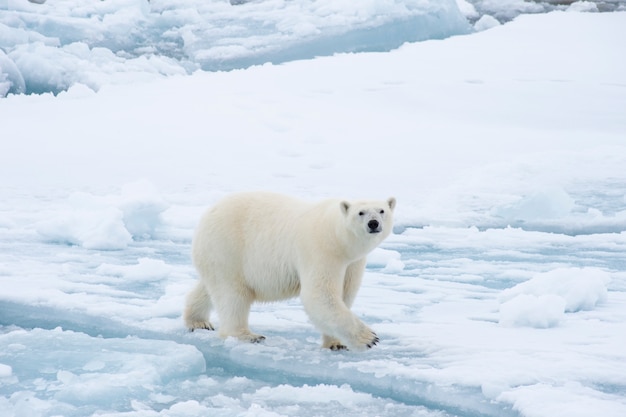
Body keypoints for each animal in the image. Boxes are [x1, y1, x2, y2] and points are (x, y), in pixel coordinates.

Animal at [183, 193, 394, 350]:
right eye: (361, 212)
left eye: (382, 210)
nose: (373, 223)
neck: (336, 236)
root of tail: (207, 215)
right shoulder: (320, 250)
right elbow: (319, 295)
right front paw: (369, 338)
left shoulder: (353, 262)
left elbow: (345, 294)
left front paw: (336, 343)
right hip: (228, 248)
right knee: (232, 295)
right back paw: (248, 335)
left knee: (209, 288)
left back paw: (198, 321)